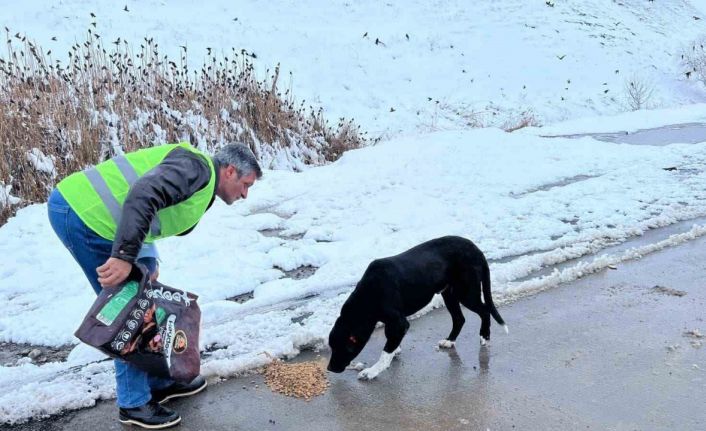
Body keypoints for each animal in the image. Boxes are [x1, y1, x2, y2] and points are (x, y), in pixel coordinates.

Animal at [328, 236, 504, 382]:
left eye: (342, 348)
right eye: (331, 347)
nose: (330, 368)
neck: (368, 296)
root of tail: (476, 249)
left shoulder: (399, 323)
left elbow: (385, 353)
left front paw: (372, 371)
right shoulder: (393, 322)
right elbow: (391, 342)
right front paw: (395, 349)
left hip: (465, 293)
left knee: (484, 311)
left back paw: (484, 336)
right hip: (449, 294)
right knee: (460, 319)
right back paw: (449, 341)